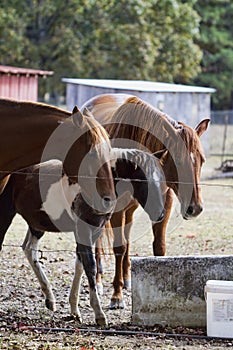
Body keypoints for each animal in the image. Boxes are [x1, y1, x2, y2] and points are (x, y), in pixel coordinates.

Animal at [0, 148, 166, 326]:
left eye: (162, 179)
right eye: (143, 180)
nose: (161, 214)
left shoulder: (94, 230)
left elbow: (80, 265)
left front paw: (75, 311)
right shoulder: (83, 230)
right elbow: (90, 266)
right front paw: (99, 315)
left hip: (37, 224)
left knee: (29, 249)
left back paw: (50, 299)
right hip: (7, 214)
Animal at [81, 93, 210, 308]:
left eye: (202, 160)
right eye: (179, 160)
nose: (195, 208)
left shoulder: (164, 203)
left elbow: (158, 246)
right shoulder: (116, 207)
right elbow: (119, 247)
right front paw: (116, 296)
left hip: (130, 209)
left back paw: (127, 279)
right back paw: (98, 282)